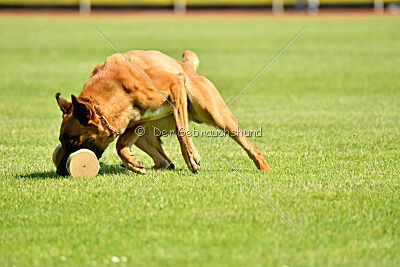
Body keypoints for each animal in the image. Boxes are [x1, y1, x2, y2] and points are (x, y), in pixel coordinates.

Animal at [55, 50, 272, 176]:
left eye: (71, 140)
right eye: (61, 140)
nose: (59, 170)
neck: (115, 87)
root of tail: (187, 66)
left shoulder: (175, 85)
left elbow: (182, 130)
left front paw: (191, 157)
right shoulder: (138, 122)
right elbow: (120, 145)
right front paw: (132, 163)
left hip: (216, 115)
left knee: (250, 146)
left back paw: (264, 168)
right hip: (145, 136)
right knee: (166, 162)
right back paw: (143, 166)